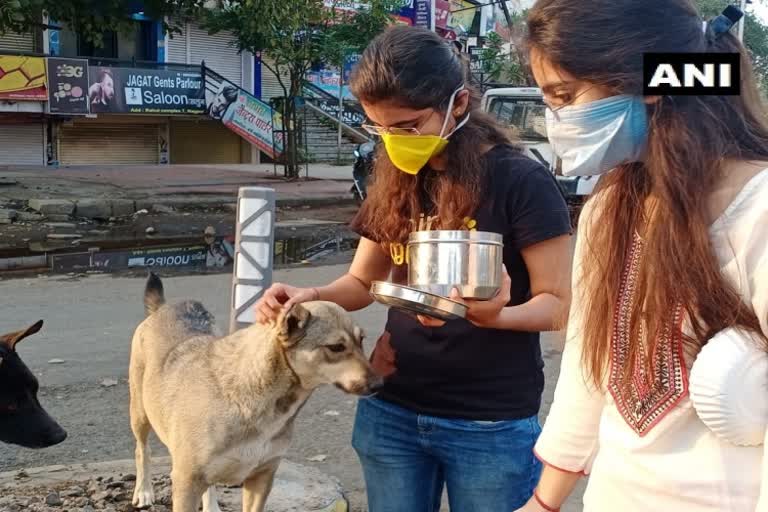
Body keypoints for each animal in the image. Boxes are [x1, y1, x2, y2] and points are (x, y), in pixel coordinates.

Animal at [133, 276, 388, 512]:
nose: (380, 384)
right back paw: (144, 491)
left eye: (361, 340)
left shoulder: (262, 477)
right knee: (142, 451)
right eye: (336, 347)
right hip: (140, 416)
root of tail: (163, 307)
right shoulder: (186, 481)